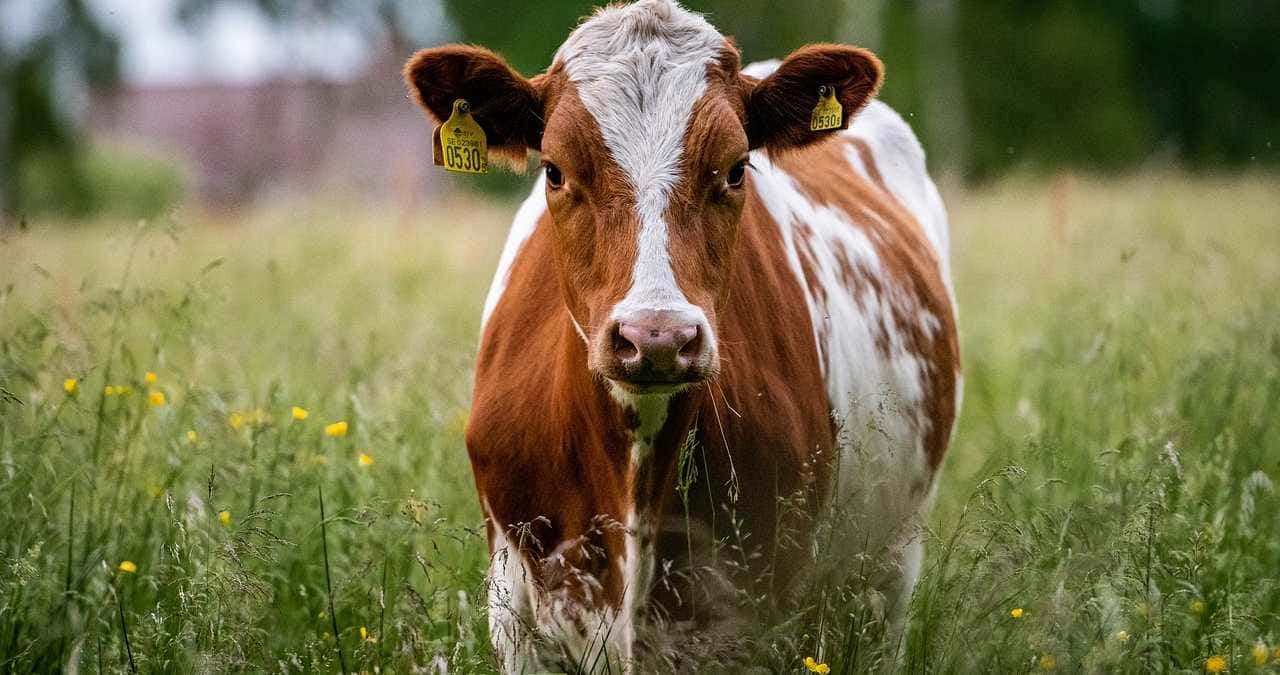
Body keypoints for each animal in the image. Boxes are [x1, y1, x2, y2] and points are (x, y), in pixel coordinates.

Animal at [404, 0, 957, 671]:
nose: (657, 337)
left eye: (737, 170)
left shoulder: (758, 615)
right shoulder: (517, 617)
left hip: (891, 566)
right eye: (555, 171)